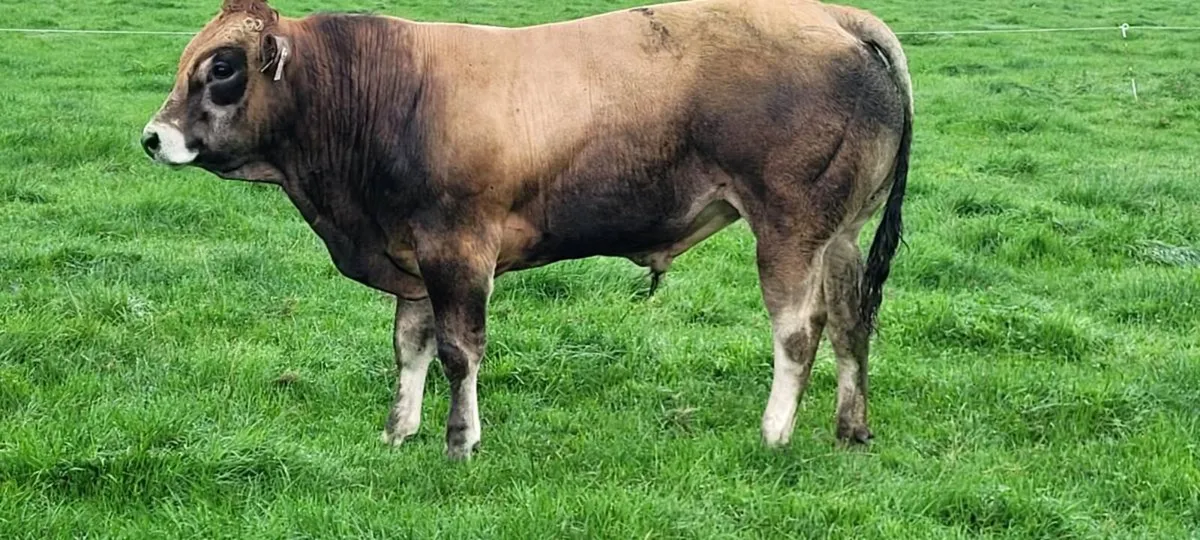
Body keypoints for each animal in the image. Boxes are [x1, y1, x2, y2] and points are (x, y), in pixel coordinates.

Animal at [141, 0, 912, 460]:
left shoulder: (457, 250)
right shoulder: (412, 258)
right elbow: (409, 348)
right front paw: (399, 430)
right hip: (841, 233)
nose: (152, 137)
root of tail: (834, 16)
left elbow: (459, 353)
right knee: (852, 324)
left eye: (222, 67)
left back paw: (774, 433)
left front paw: (460, 441)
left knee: (799, 330)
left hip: (789, 227)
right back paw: (851, 427)